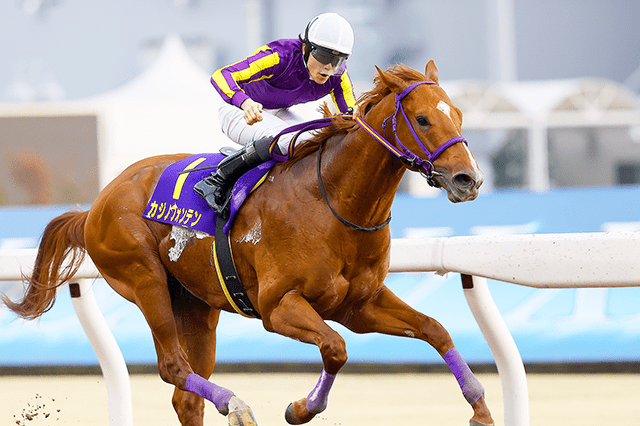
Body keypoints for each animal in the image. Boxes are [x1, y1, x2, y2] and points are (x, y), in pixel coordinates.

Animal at [2, 60, 493, 426]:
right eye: (424, 119)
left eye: (458, 115)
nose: (468, 180)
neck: (334, 202)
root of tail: (94, 206)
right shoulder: (278, 307)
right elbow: (335, 348)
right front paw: (300, 408)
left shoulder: (359, 305)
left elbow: (434, 328)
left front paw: (481, 407)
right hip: (143, 279)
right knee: (173, 367)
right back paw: (235, 404)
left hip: (195, 304)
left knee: (185, 394)